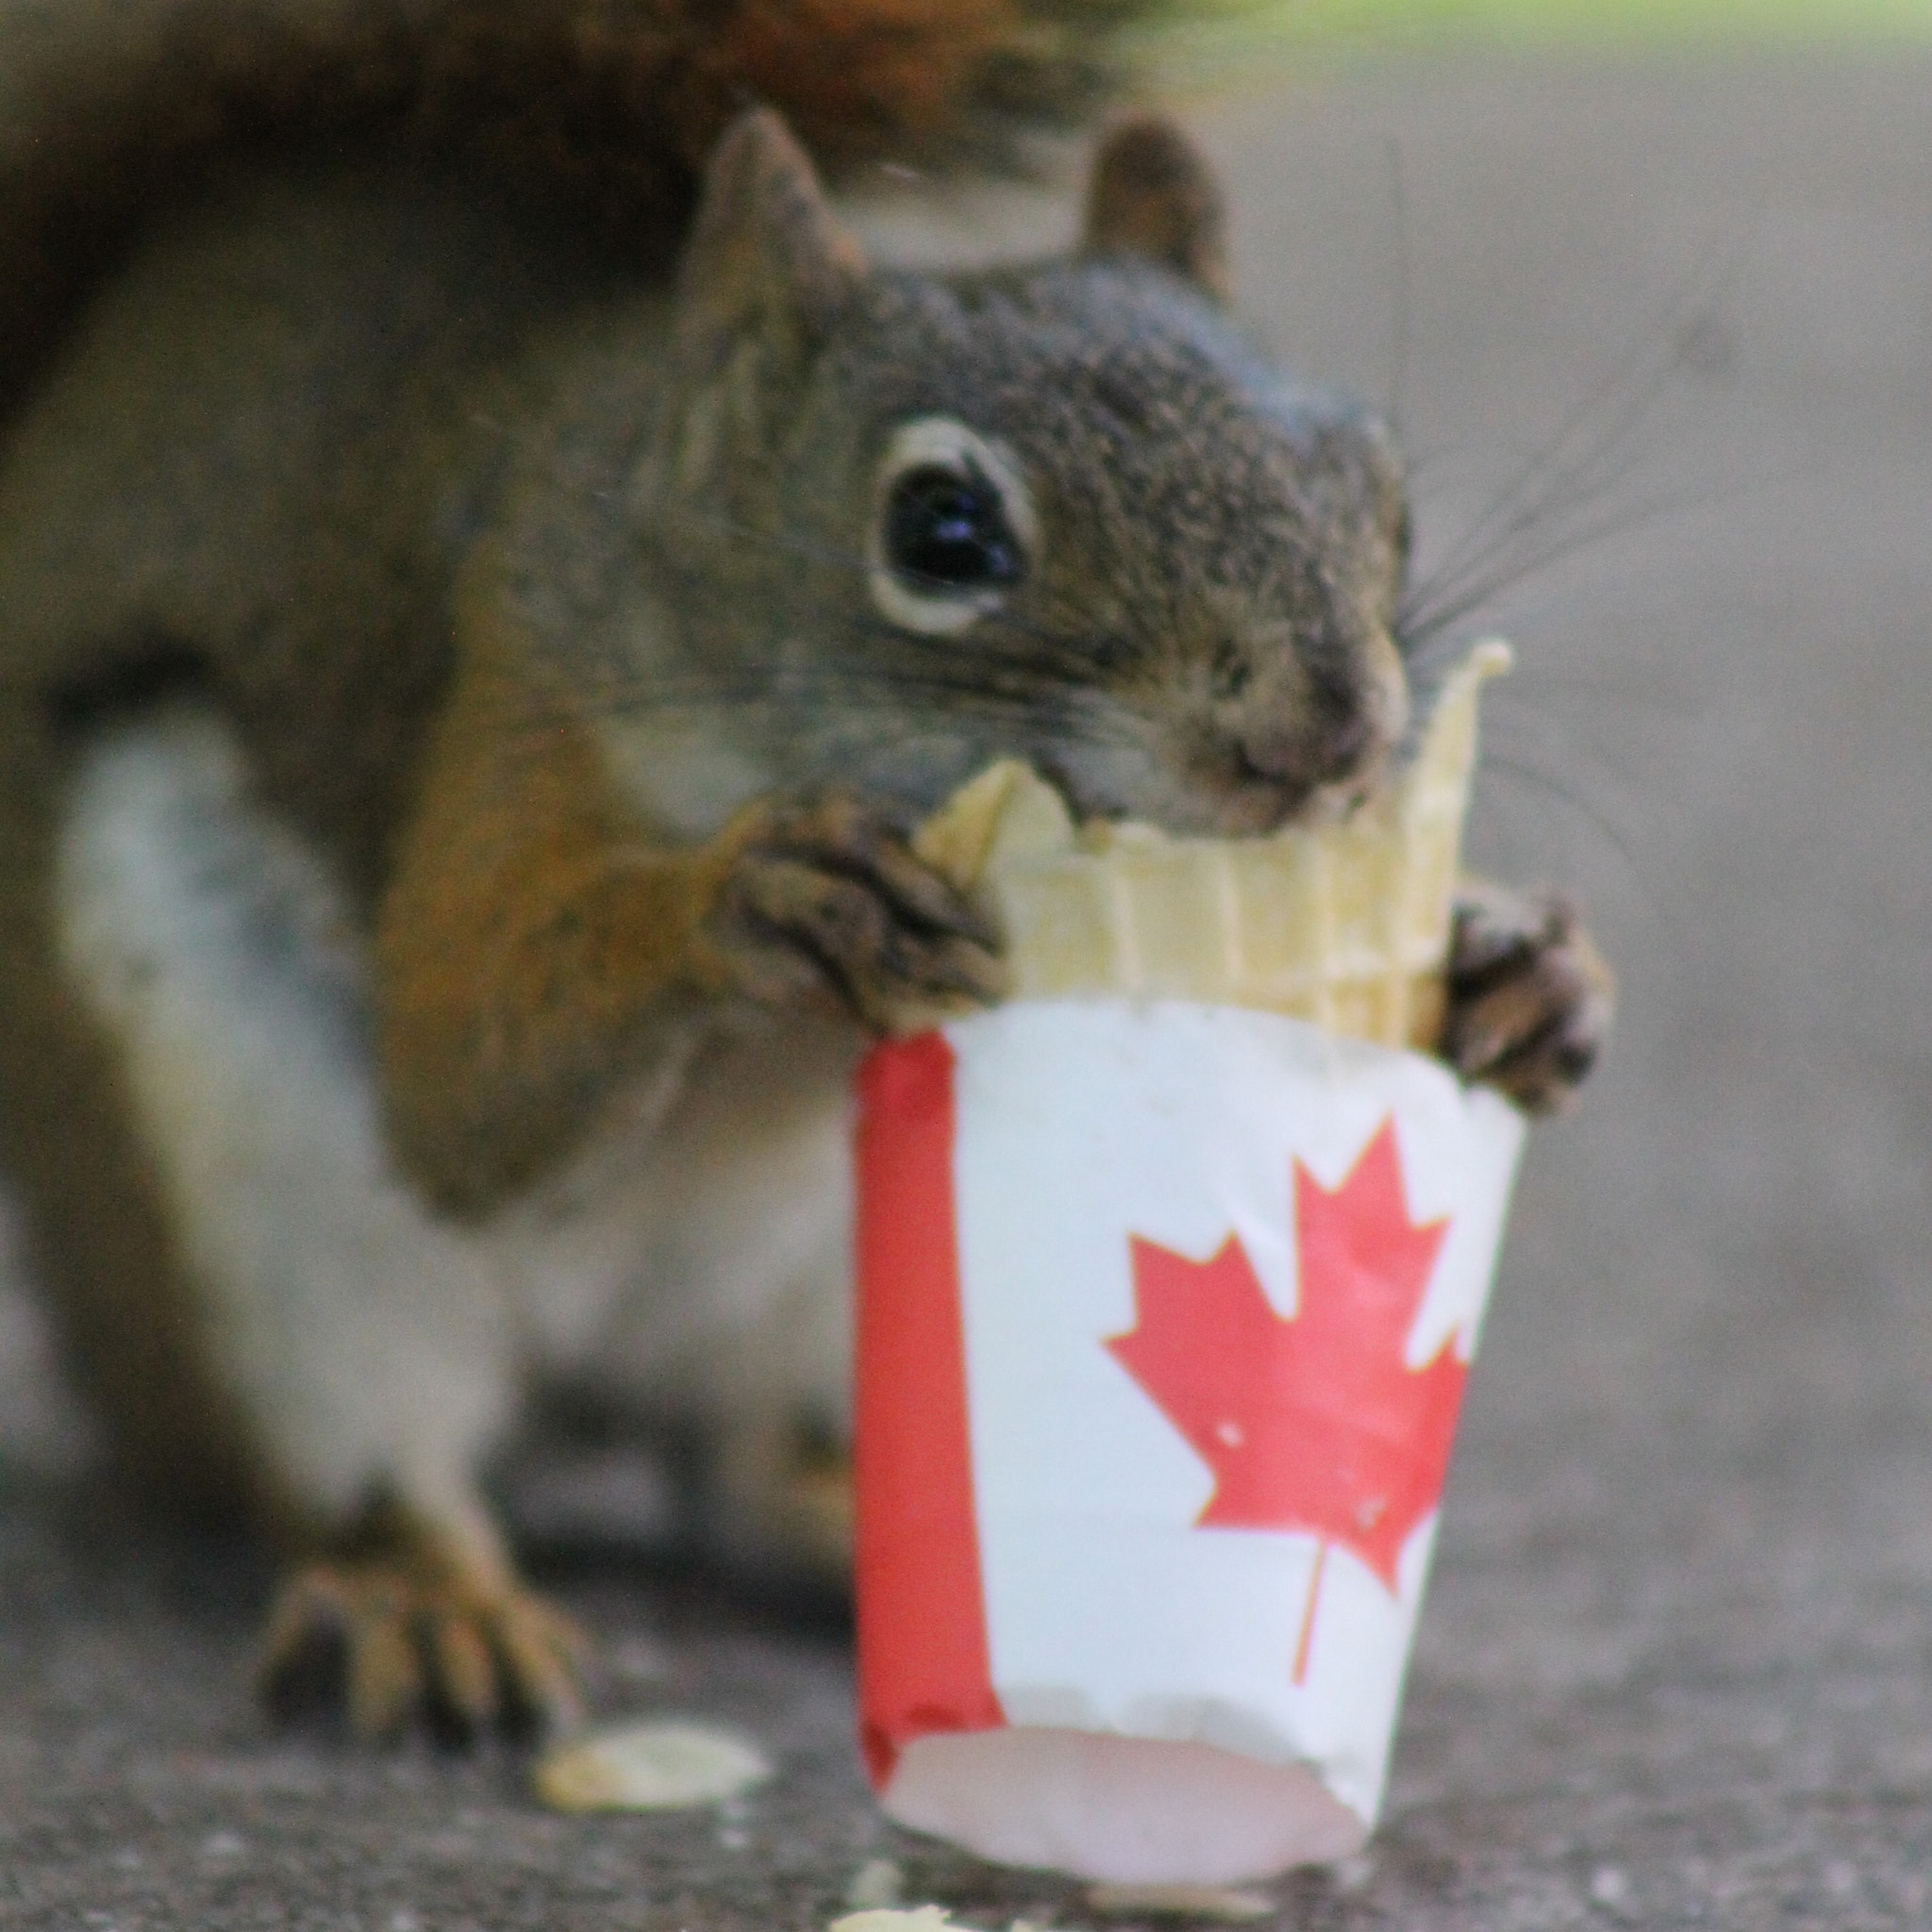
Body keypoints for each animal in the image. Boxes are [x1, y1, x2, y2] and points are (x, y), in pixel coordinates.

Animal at [0, 0, 1613, 1743]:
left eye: (1382, 493)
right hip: (236, 1192)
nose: (1323, 736)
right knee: (353, 1449)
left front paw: (1516, 965)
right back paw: (421, 1594)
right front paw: (754, 901)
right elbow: (462, 1066)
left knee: (739, 1467)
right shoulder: (510, 707)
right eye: (943, 530)